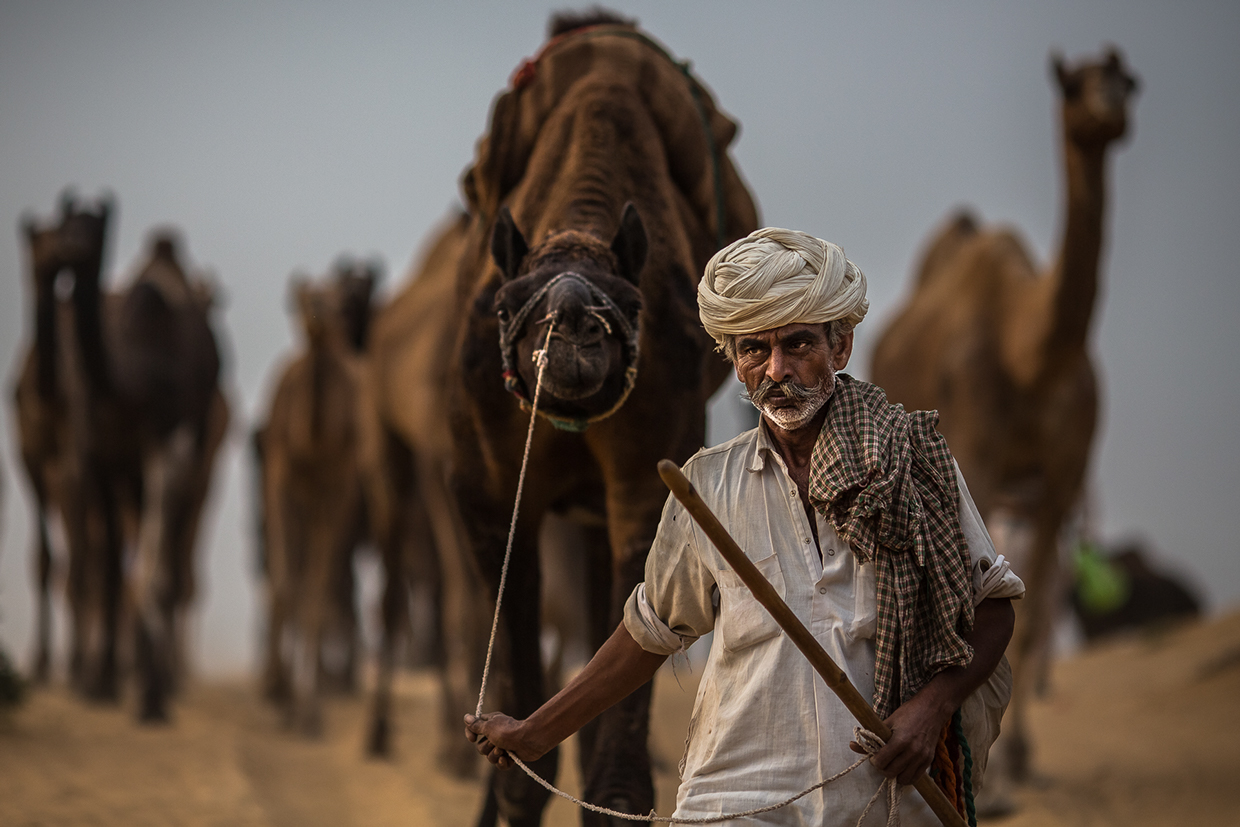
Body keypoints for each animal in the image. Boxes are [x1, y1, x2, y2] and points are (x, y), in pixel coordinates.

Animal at [254, 260, 379, 738]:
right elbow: (289, 584)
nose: (320, 312)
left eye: (333, 296)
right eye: (304, 296)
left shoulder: (337, 493)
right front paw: (283, 695)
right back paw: (273, 686)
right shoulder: (279, 480)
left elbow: (315, 592)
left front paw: (308, 712)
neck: (313, 443)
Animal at [362, 12, 758, 827]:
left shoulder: (650, 468)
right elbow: (519, 741)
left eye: (629, 303)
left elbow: (617, 766)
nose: (572, 329)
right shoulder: (480, 487)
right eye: (509, 302)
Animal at [868, 46, 1135, 808]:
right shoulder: (976, 457)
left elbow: (1038, 602)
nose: (1111, 105)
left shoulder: (1063, 478)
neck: (1030, 355)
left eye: (1128, 79)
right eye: (1073, 85)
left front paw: (1021, 760)